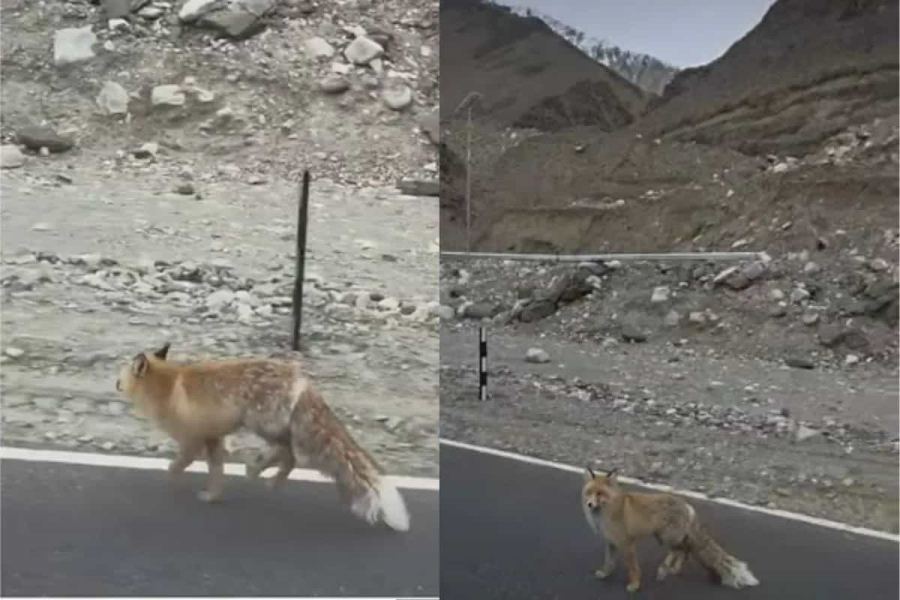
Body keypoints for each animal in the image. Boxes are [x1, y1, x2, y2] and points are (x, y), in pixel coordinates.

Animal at [114, 342, 411, 532]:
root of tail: (302, 380)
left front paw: (174, 485)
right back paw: (264, 474)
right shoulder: (214, 439)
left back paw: (262, 472)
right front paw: (213, 497)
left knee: (290, 453)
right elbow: (217, 472)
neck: (163, 388)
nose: (114, 382)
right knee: (289, 456)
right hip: (270, 426)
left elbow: (174, 466)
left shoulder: (193, 440)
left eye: (120, 374)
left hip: (261, 424)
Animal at [581, 466, 759, 593]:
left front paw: (635, 586)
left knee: (679, 549)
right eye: (589, 492)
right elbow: (608, 562)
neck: (606, 514)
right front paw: (605, 574)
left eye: (600, 494)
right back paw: (673, 569)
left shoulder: (627, 543)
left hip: (666, 537)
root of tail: (687, 506)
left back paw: (664, 569)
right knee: (685, 550)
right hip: (667, 537)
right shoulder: (610, 542)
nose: (589, 504)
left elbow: (633, 568)